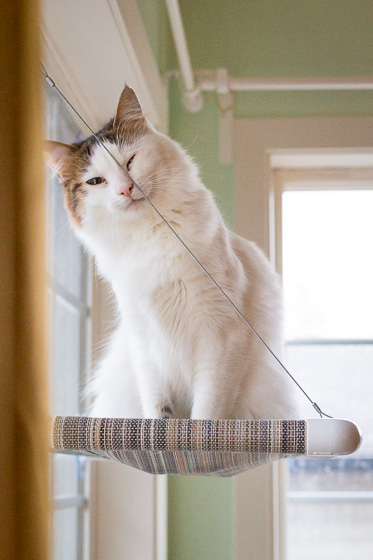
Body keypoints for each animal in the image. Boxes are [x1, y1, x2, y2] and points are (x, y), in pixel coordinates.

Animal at [45, 86, 298, 420]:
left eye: (130, 161)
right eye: (96, 181)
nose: (125, 189)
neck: (148, 235)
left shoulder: (221, 335)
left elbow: (205, 413)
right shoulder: (144, 342)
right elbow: (158, 410)